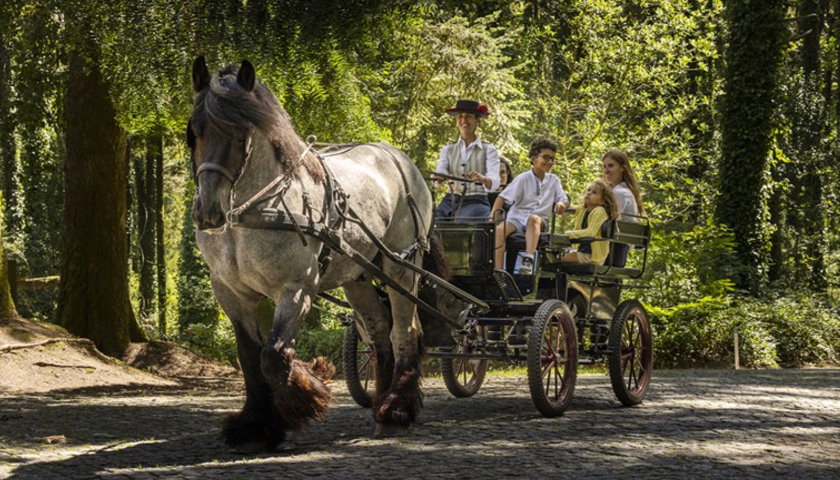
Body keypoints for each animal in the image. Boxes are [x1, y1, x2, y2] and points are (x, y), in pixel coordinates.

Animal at [186, 56, 442, 450]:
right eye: (194, 131)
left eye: (240, 135)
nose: (208, 212)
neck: (253, 210)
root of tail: (402, 159)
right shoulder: (231, 293)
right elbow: (250, 357)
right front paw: (255, 426)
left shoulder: (296, 289)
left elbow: (274, 355)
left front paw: (305, 397)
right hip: (358, 276)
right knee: (380, 335)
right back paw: (382, 404)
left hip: (401, 266)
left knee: (404, 333)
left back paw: (396, 412)